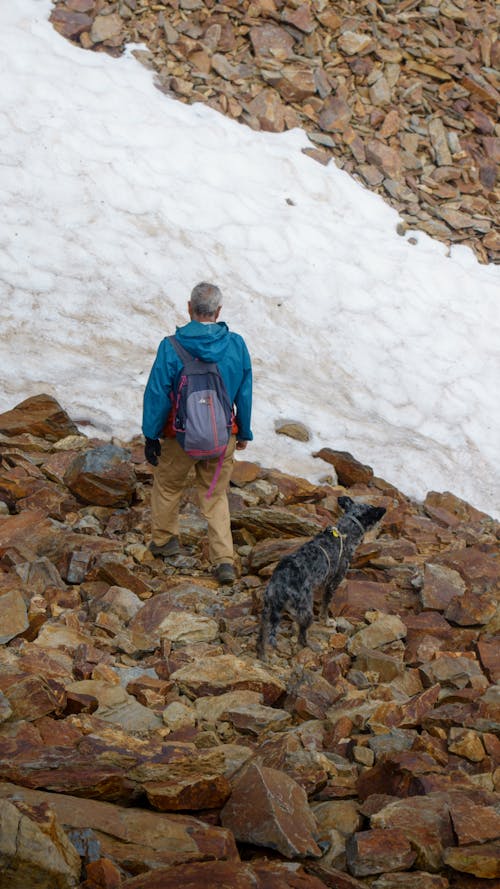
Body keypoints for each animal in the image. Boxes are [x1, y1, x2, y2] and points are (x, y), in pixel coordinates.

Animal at [258, 492, 386, 660]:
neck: (344, 533)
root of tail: (280, 584)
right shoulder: (332, 583)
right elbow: (326, 606)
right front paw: (326, 621)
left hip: (267, 610)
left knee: (261, 635)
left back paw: (262, 654)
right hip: (305, 611)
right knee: (302, 637)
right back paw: (312, 646)